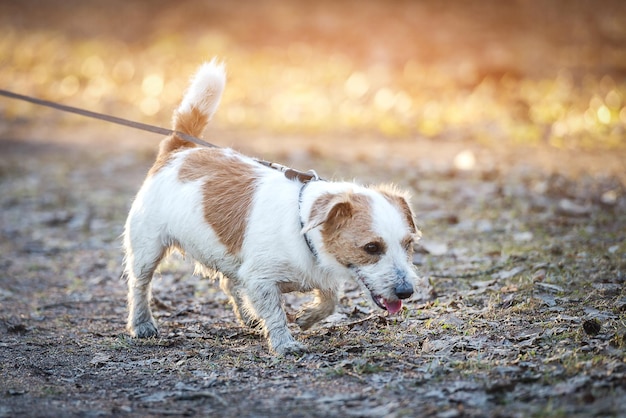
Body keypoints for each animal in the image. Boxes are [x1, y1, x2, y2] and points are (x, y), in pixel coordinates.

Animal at [124, 58, 420, 352]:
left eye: (408, 244)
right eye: (371, 247)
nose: (406, 291)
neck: (302, 226)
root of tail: (180, 150)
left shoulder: (309, 275)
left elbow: (330, 299)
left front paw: (307, 317)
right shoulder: (261, 280)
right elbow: (276, 313)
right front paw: (284, 343)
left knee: (229, 283)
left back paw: (248, 317)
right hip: (147, 248)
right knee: (140, 285)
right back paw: (142, 323)